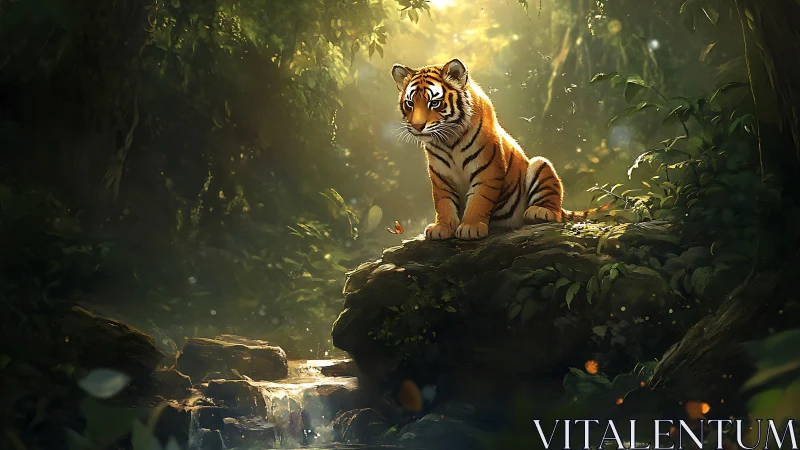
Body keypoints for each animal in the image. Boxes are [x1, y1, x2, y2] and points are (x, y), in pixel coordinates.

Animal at [391, 58, 614, 241]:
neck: (449, 140)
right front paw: (441, 228)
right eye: (410, 103)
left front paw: (471, 227)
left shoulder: (487, 170)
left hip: (541, 165)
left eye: (434, 103)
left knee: (556, 211)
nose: (417, 126)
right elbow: (443, 201)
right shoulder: (440, 175)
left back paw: (540, 212)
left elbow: (479, 199)